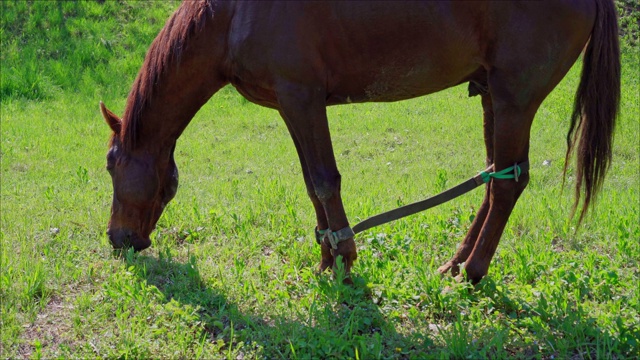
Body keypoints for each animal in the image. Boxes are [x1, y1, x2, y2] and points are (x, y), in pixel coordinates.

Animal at [101, 1, 620, 286]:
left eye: (110, 165)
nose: (118, 240)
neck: (231, 15)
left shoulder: (302, 98)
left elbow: (324, 181)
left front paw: (345, 260)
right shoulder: (293, 105)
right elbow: (312, 185)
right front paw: (328, 258)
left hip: (515, 98)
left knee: (508, 184)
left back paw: (472, 273)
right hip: (492, 93)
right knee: (495, 180)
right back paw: (456, 263)